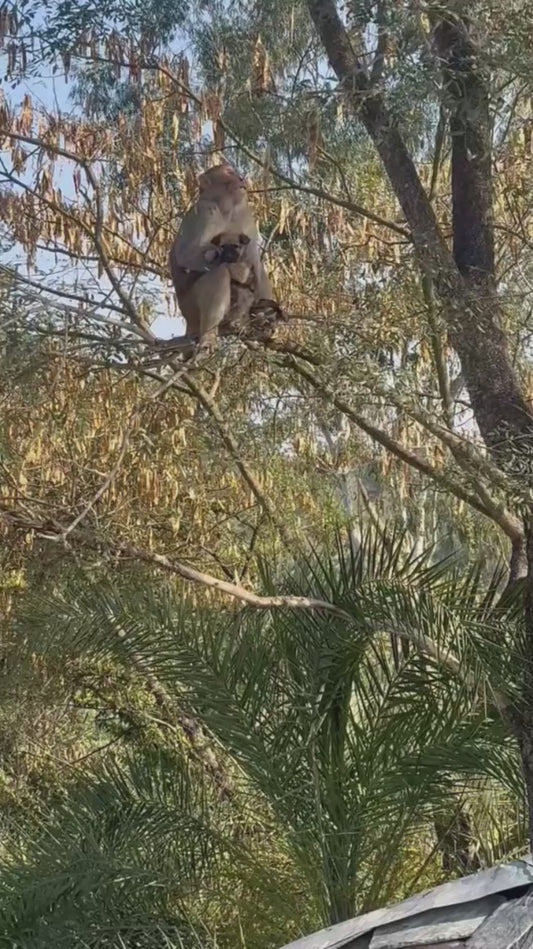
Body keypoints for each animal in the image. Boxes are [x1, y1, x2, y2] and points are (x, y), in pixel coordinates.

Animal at [169, 164, 280, 350]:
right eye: (229, 173)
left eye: (233, 171)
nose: (241, 178)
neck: (225, 209)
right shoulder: (205, 212)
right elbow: (186, 254)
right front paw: (238, 270)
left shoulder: (243, 214)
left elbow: (254, 259)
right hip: (190, 309)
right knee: (218, 274)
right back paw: (208, 336)